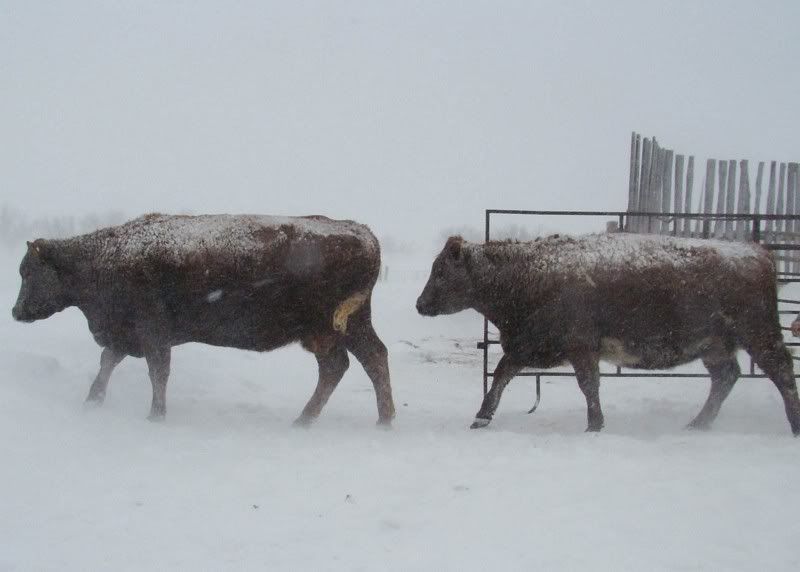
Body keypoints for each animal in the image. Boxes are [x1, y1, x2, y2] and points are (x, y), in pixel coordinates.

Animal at [12, 213, 395, 426]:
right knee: (357, 361)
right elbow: (108, 362)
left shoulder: (152, 333)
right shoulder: (127, 335)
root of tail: (363, 232)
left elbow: (157, 371)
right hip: (342, 328)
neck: (105, 257)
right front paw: (92, 402)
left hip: (333, 329)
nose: (16, 312)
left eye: (29, 271)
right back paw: (352, 420)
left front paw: (155, 415)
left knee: (354, 362)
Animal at [416, 233, 800, 435]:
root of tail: (757, 252)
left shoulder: (581, 346)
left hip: (759, 334)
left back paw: (793, 425)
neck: (529, 275)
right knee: (726, 378)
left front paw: (594, 425)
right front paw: (481, 417)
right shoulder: (526, 345)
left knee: (781, 371)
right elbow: (500, 375)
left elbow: (589, 385)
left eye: (440, 271)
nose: (419, 304)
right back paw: (697, 424)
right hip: (715, 346)